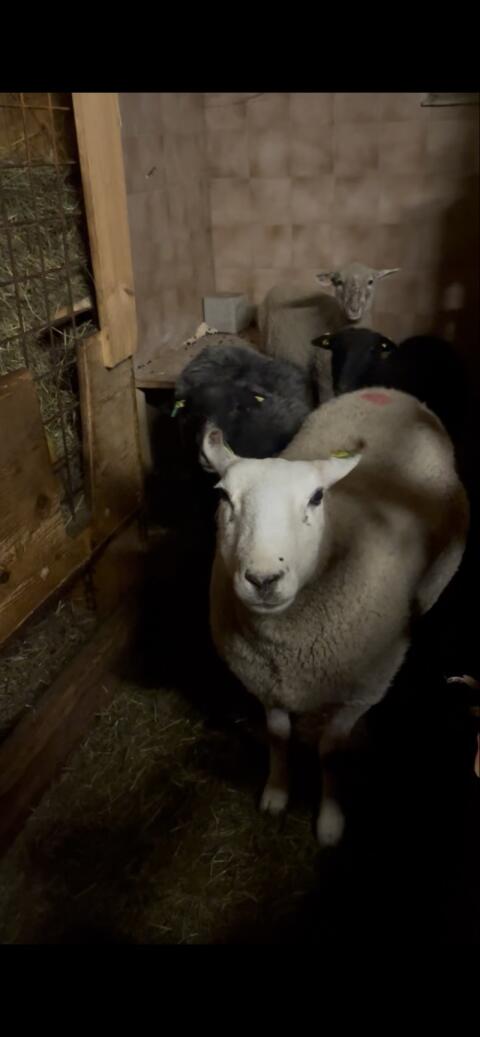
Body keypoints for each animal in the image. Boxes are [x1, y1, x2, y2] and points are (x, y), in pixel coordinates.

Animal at [201, 387, 469, 846]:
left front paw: (329, 820)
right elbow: (278, 735)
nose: (263, 578)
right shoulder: (263, 679)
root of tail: (390, 393)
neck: (286, 646)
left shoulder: (362, 691)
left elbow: (329, 750)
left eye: (316, 498)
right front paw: (276, 793)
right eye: (223, 496)